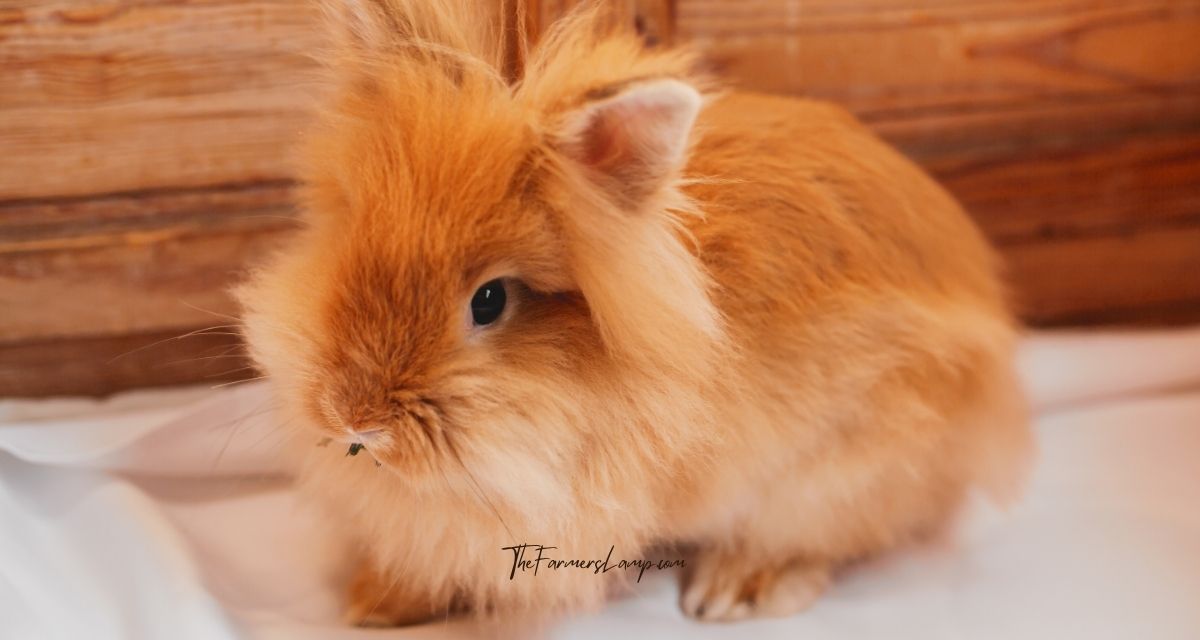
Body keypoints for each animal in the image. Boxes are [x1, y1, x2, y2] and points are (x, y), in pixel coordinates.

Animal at [237, 0, 1033, 627]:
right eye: (352, 232)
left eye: (490, 301)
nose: (353, 419)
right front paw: (373, 602)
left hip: (843, 470)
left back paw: (733, 588)